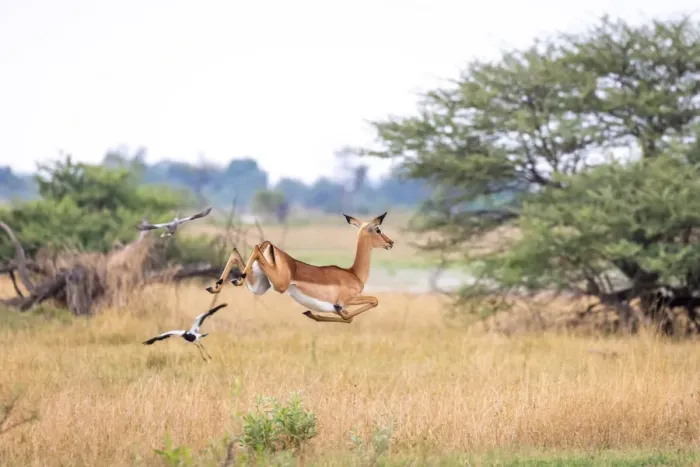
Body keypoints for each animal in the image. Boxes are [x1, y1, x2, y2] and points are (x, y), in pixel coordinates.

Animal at [205, 212, 394, 323]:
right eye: (378, 229)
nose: (390, 242)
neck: (354, 274)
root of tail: (270, 247)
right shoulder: (347, 300)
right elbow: (368, 304)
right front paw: (317, 314)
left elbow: (348, 317)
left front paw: (312, 314)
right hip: (279, 285)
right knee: (255, 248)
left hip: (259, 286)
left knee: (236, 251)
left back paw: (218, 286)